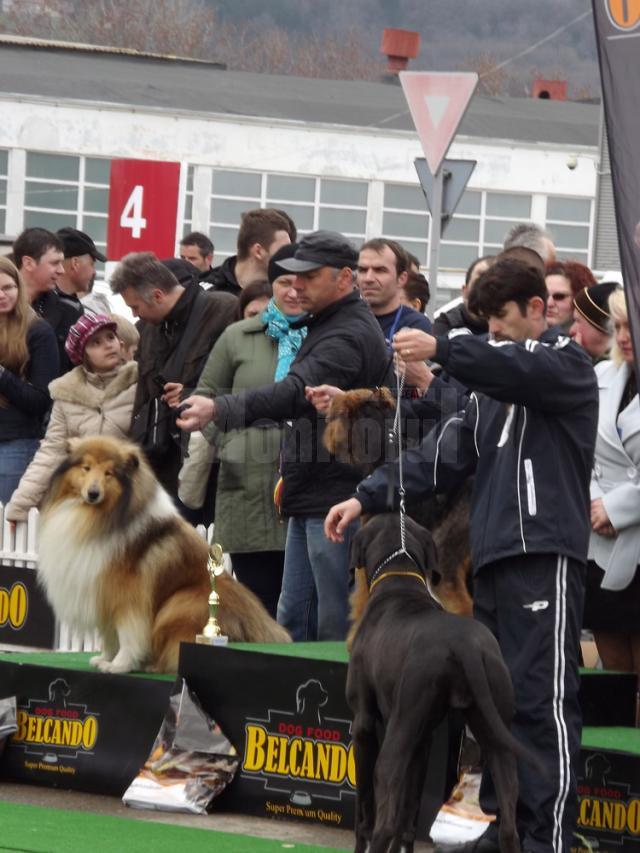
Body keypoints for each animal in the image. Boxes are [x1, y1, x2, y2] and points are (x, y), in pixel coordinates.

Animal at [38, 440, 292, 672]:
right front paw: (105, 659)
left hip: (180, 604)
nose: (93, 493)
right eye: (86, 468)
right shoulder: (104, 593)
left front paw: (119, 665)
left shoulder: (128, 597)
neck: (101, 515)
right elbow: (110, 635)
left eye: (109, 473)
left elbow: (128, 634)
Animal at [348, 512, 528, 852]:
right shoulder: (423, 738)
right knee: (510, 826)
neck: (399, 576)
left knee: (384, 821)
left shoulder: (365, 724)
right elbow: (409, 813)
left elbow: (365, 809)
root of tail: (466, 646)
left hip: (396, 738)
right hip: (496, 736)